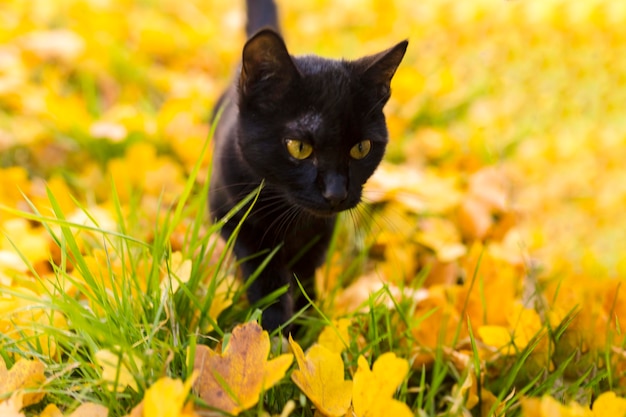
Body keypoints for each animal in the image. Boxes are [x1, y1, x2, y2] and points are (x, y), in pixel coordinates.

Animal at [207, 0, 408, 332]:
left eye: (361, 148)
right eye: (299, 147)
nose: (336, 193)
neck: (293, 220)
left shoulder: (320, 234)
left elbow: (305, 276)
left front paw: (306, 324)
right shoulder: (236, 219)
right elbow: (266, 279)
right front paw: (274, 332)